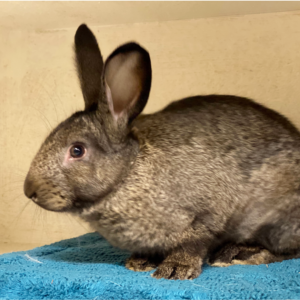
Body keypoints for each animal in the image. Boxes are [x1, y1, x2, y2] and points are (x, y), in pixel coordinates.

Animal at [24, 24, 300, 282]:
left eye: (77, 150)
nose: (29, 191)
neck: (128, 174)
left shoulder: (204, 217)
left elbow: (193, 243)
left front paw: (175, 270)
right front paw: (139, 262)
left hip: (275, 222)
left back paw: (239, 254)